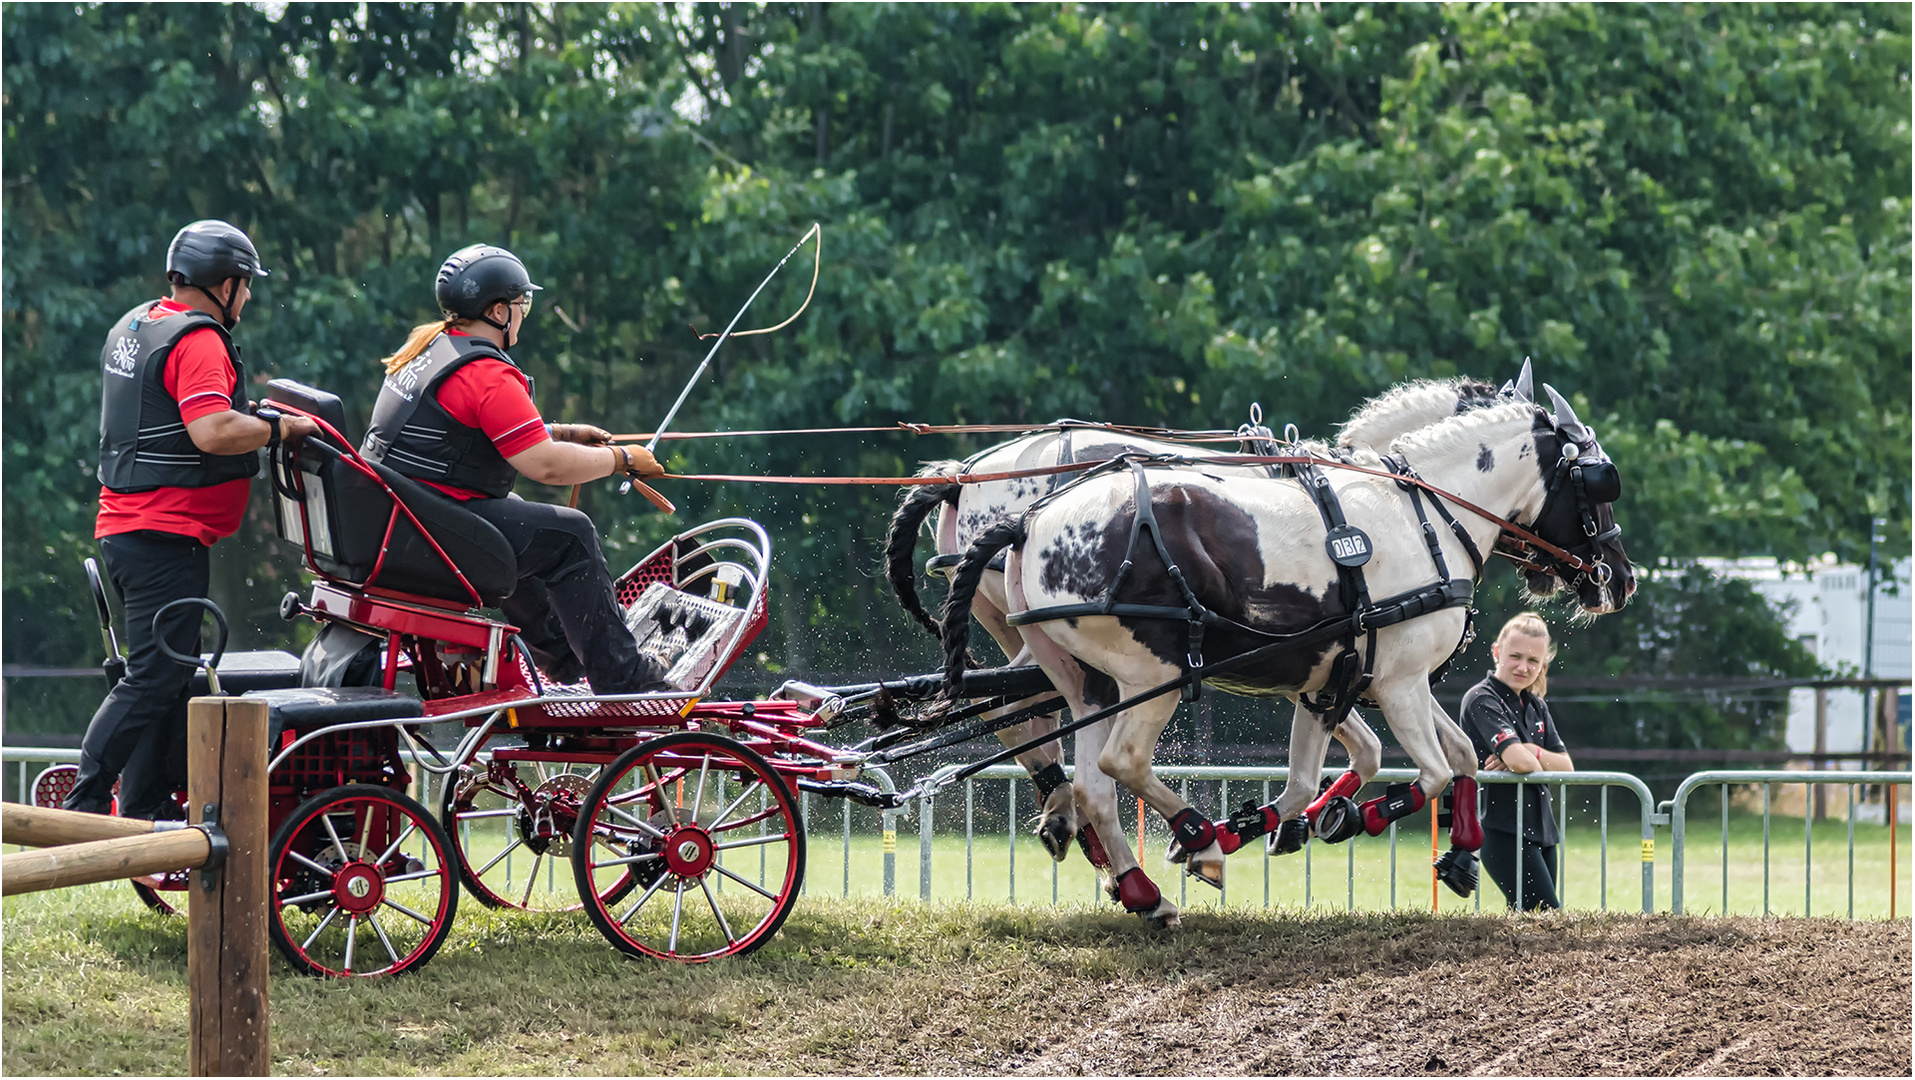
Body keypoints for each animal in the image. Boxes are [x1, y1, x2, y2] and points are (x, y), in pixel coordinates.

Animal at [934, 382, 1639, 922]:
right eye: (1599, 482)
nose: (1621, 579)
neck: (1425, 516)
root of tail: (1027, 523)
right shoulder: (1400, 682)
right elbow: (1435, 770)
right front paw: (1362, 816)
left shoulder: (1339, 683)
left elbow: (1379, 767)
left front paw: (1452, 849)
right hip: (1151, 675)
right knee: (1117, 761)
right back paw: (1193, 836)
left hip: (1088, 683)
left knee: (1087, 782)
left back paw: (1140, 887)